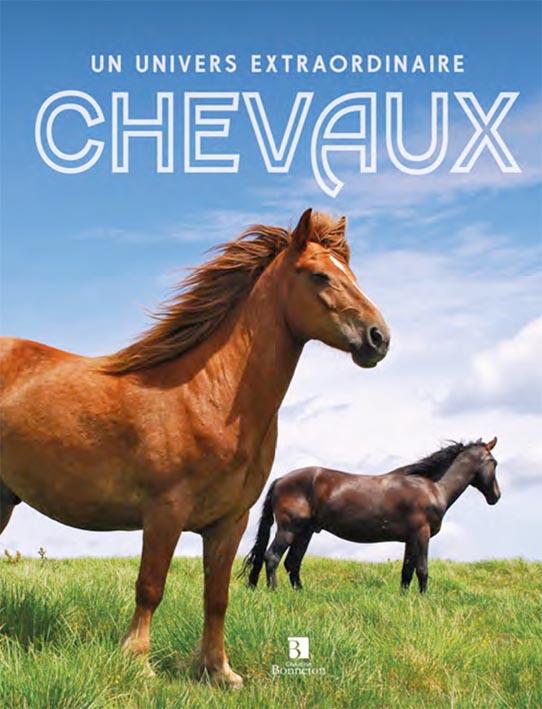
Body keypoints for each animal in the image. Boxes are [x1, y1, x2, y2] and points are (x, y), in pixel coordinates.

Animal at [0, 209, 389, 686]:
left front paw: (218, 671)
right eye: (319, 275)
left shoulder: (230, 522)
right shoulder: (164, 511)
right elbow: (150, 586)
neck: (208, 393)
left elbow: (216, 597)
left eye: (351, 274)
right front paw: (138, 663)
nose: (378, 338)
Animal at [242, 438, 500, 594]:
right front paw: (423, 599)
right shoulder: (422, 534)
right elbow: (422, 569)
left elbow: (407, 571)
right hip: (289, 529)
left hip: (305, 532)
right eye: (494, 462)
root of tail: (280, 480)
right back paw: (274, 591)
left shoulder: (410, 539)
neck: (433, 488)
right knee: (272, 557)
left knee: (292, 563)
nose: (496, 496)